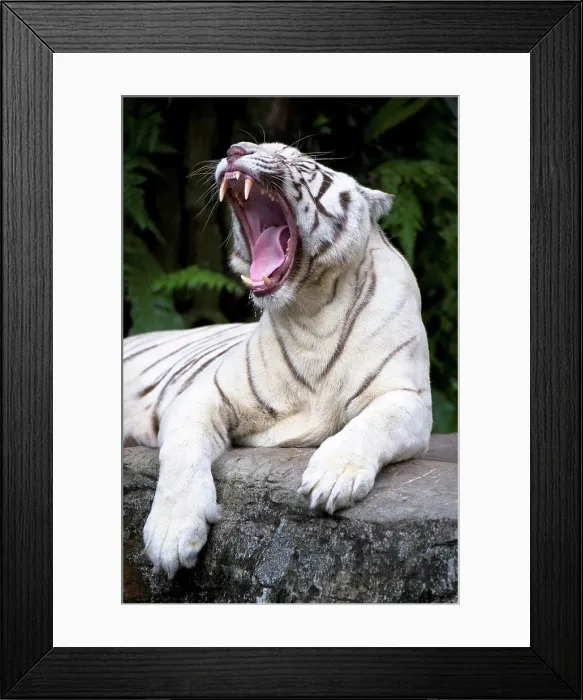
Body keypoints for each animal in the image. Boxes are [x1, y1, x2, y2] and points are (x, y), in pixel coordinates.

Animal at [124, 141, 432, 578]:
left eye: (296, 159)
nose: (235, 149)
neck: (314, 310)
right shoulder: (205, 395)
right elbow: (181, 452)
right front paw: (171, 535)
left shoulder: (407, 397)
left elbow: (374, 423)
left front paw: (333, 476)